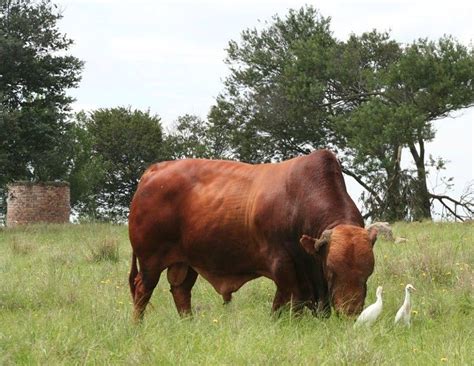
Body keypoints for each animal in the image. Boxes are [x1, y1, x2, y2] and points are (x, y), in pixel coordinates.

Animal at [127, 149, 378, 320]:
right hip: (150, 261)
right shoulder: (283, 265)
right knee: (142, 291)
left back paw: (189, 324)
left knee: (181, 292)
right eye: (332, 271)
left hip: (186, 262)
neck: (299, 202)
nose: (350, 312)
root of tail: (154, 170)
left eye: (367, 273)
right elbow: (285, 302)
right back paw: (138, 326)